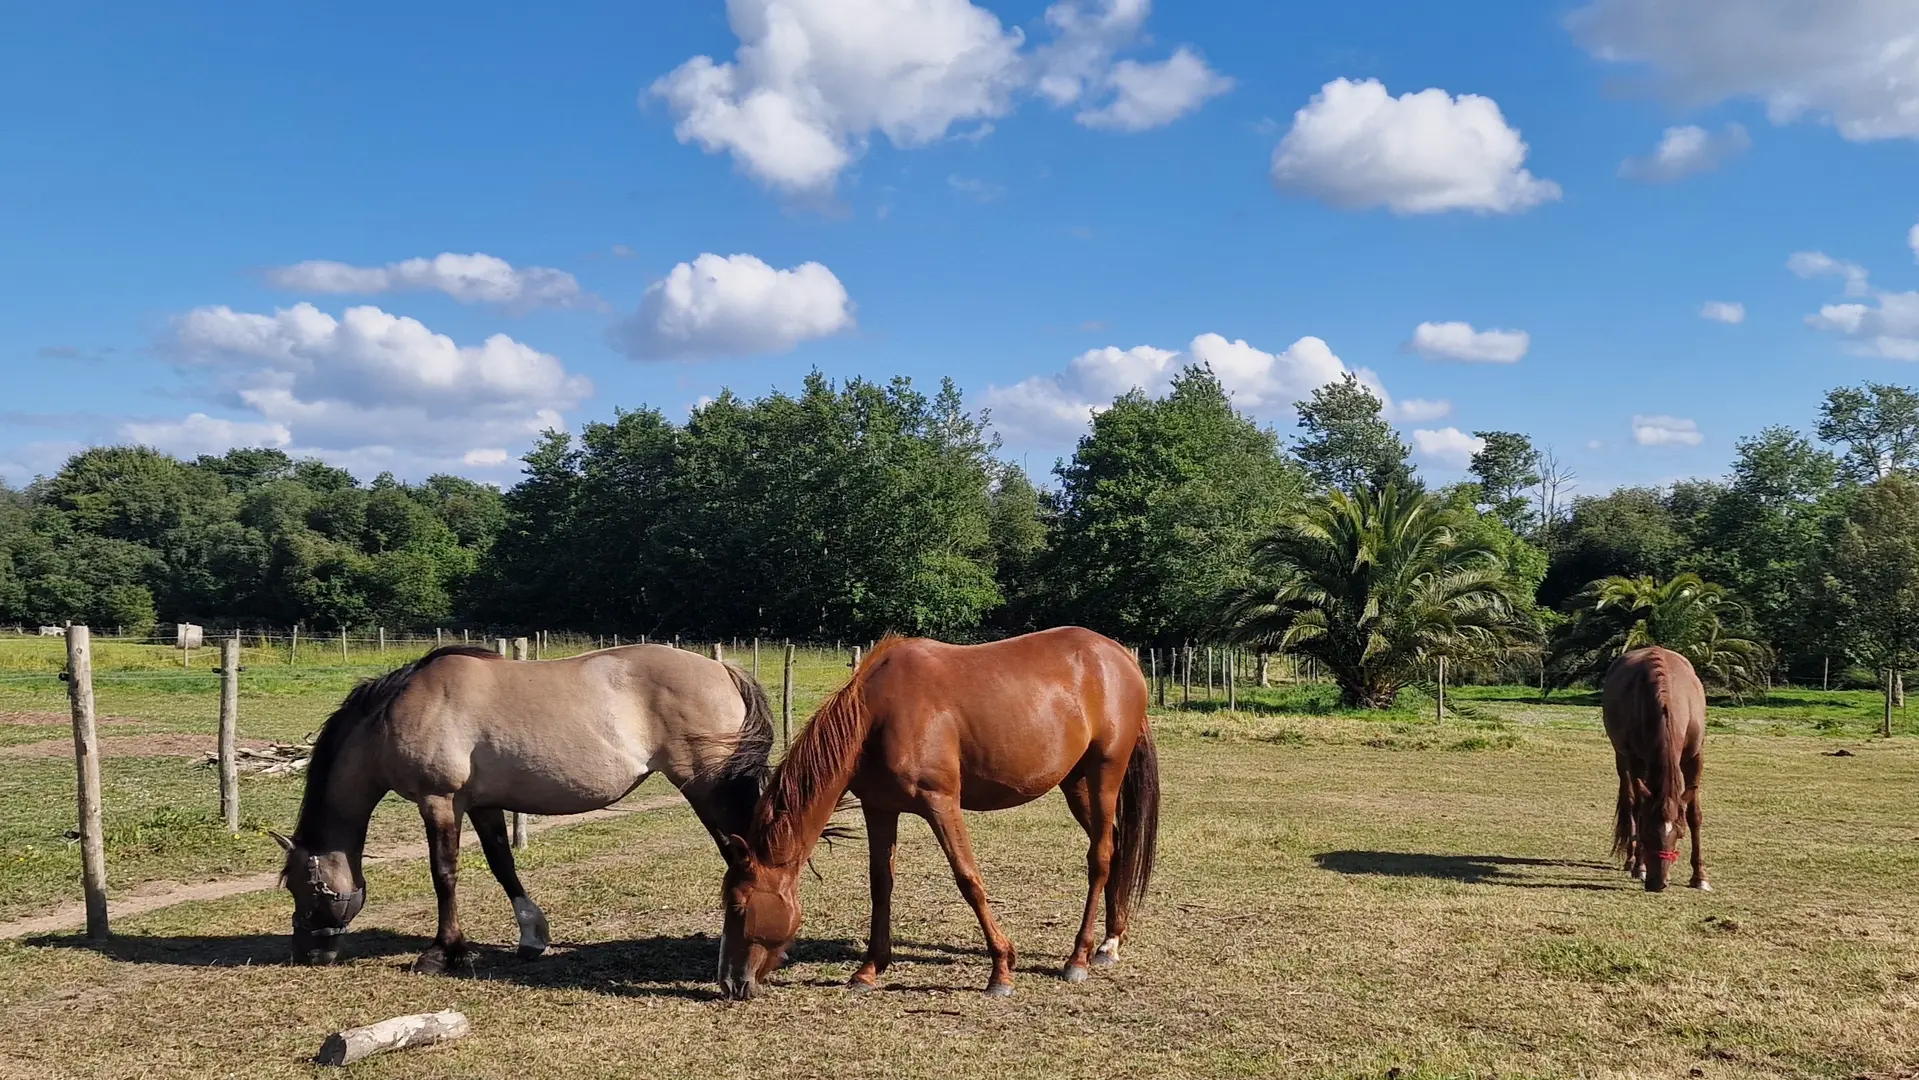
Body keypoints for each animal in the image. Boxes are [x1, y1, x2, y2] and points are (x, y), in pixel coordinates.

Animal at [271, 643, 773, 972]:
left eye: (303, 888)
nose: (306, 954)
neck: (400, 711)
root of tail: (722, 670)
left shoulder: (439, 802)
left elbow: (443, 874)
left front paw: (443, 950)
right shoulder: (482, 805)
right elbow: (502, 865)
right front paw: (532, 936)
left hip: (708, 788)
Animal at [716, 626, 1159, 1000]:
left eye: (738, 906)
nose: (731, 983)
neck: (876, 716)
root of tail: (1119, 655)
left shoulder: (941, 803)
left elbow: (968, 879)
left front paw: (1001, 970)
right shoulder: (880, 809)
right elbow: (881, 885)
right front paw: (869, 970)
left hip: (1105, 775)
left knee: (1100, 857)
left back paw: (1079, 957)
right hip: (1076, 784)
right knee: (1117, 846)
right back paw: (1110, 942)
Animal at [1601, 646, 1712, 893]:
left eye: (1679, 833)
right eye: (1646, 833)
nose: (1657, 883)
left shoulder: (1695, 757)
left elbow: (1694, 815)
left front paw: (1700, 876)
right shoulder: (1635, 759)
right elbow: (1638, 809)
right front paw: (1639, 866)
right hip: (1622, 758)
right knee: (1630, 802)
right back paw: (1632, 861)